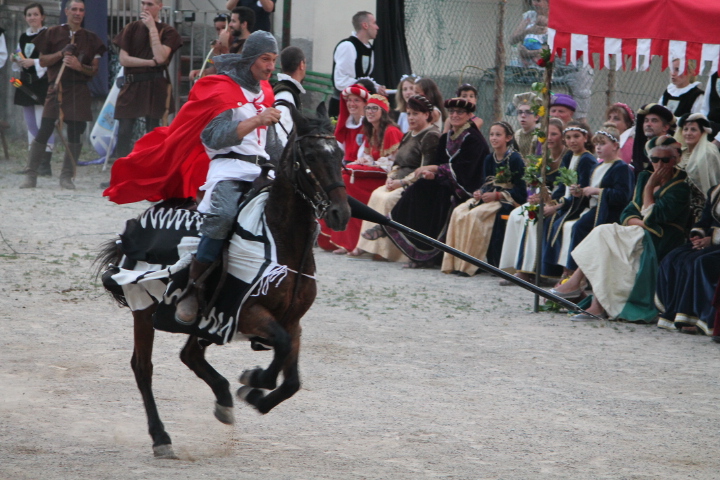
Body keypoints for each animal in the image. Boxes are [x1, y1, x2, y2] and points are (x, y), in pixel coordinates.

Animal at [97, 105, 350, 458]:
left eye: (339, 153)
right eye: (310, 155)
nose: (341, 213)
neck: (280, 241)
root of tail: (135, 227)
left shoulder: (292, 320)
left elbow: (291, 380)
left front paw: (255, 392)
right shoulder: (246, 313)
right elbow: (280, 351)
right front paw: (254, 379)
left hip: (199, 321)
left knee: (190, 355)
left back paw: (223, 400)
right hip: (144, 309)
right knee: (143, 368)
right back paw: (161, 438)